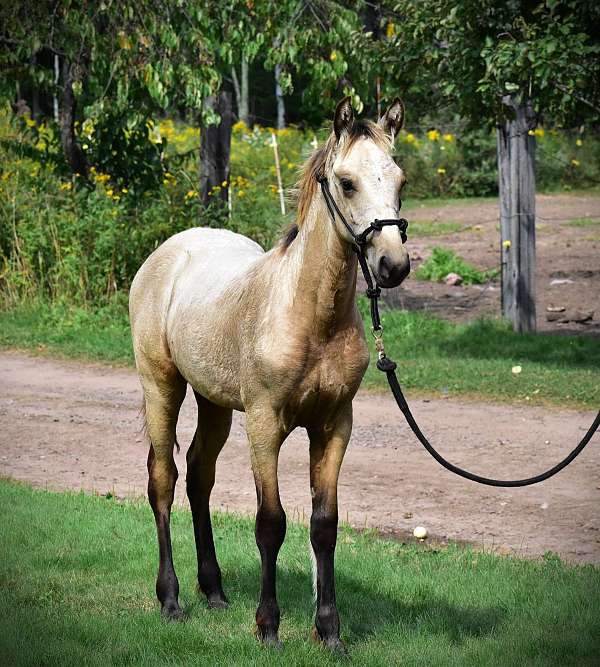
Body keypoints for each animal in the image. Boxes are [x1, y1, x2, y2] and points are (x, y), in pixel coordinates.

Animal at [129, 98, 410, 652]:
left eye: (399, 180)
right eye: (347, 182)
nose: (393, 265)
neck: (309, 317)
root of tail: (169, 250)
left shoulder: (334, 425)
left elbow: (324, 524)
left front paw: (330, 632)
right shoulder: (264, 424)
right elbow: (271, 523)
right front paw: (269, 626)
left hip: (215, 402)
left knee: (199, 475)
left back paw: (214, 591)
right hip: (162, 387)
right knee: (163, 479)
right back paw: (171, 600)